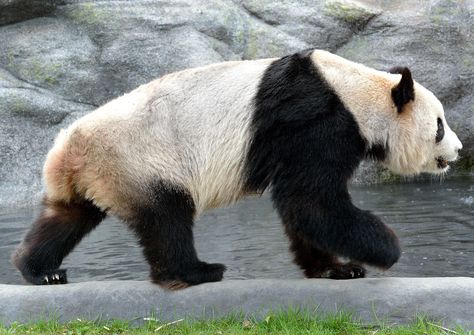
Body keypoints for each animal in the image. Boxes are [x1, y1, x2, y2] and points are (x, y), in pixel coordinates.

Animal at [12, 48, 462, 290]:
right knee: (167, 218)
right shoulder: (318, 122)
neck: (357, 91)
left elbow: (302, 209)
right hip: (139, 159)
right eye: (439, 125)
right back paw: (197, 271)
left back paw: (39, 271)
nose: (458, 150)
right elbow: (312, 202)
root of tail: (66, 150)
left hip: (98, 174)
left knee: (66, 218)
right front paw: (386, 247)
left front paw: (336, 269)